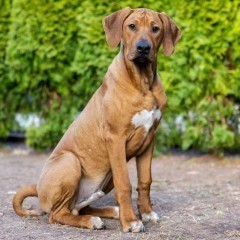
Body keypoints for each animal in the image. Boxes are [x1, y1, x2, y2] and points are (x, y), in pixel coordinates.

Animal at [12, 7, 180, 232]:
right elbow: (125, 184)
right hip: (70, 161)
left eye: (155, 29)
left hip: (103, 179)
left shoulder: (149, 139)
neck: (143, 82)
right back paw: (92, 220)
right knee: (57, 214)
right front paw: (130, 221)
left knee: (78, 207)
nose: (143, 48)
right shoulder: (116, 138)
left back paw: (109, 212)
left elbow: (145, 181)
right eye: (132, 26)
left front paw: (146, 213)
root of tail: (38, 188)